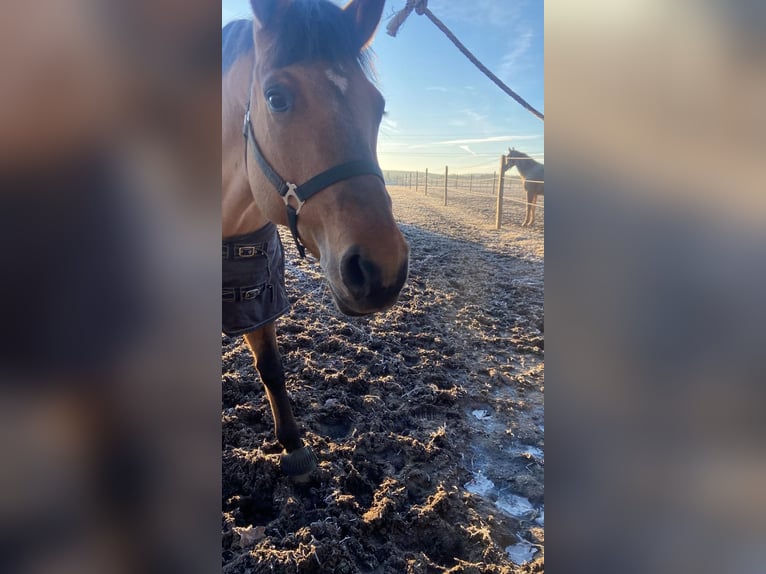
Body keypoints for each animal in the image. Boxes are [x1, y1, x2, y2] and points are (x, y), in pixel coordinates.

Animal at [222, 0, 412, 476]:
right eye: (276, 97)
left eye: (378, 106)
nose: (381, 268)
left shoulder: (258, 298)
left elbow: (271, 366)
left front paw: (292, 444)